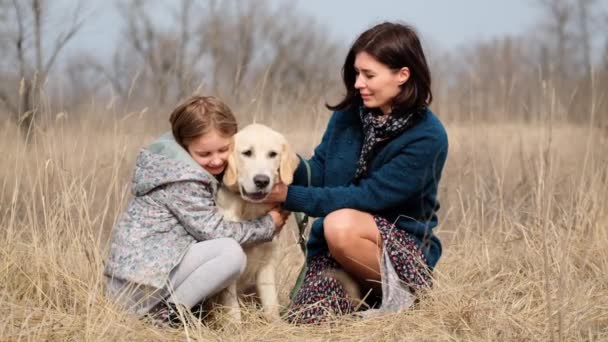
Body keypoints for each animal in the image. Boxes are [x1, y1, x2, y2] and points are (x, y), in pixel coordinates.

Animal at [216, 124, 300, 322]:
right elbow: (233, 307)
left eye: (273, 154)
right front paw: (235, 326)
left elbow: (271, 305)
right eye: (247, 153)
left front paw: (276, 325)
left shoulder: (267, 261)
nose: (262, 181)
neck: (249, 209)